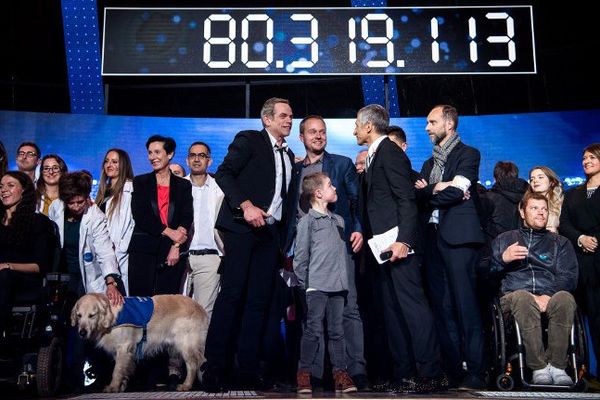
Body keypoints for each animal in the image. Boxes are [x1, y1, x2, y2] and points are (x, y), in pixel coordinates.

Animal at [71, 292, 209, 392]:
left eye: (92, 315)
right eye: (79, 315)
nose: (82, 332)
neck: (111, 319)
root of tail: (199, 307)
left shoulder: (124, 347)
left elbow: (116, 370)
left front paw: (113, 387)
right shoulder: (122, 352)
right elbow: (122, 369)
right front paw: (121, 386)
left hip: (186, 344)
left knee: (193, 365)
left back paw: (186, 385)